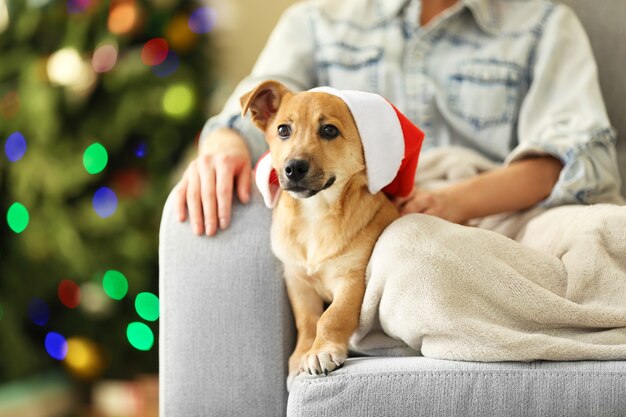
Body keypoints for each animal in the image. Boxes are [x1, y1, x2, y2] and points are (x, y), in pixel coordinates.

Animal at [241, 79, 422, 386]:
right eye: (283, 130)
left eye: (329, 130)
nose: (293, 168)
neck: (316, 214)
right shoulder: (297, 281)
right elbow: (307, 320)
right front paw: (302, 354)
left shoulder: (353, 279)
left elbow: (332, 317)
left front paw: (321, 351)